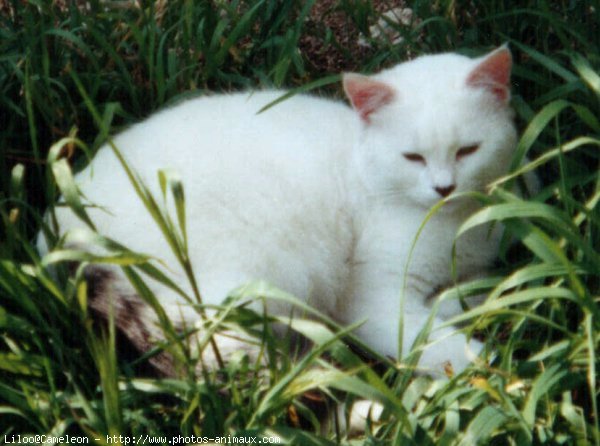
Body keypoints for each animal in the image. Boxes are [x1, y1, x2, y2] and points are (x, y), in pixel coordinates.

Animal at [42, 47, 516, 376]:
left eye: (468, 150)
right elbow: (429, 340)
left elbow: (474, 289)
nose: (444, 188)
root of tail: (56, 229)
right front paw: (486, 366)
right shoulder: (371, 298)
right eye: (412, 157)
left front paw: (469, 301)